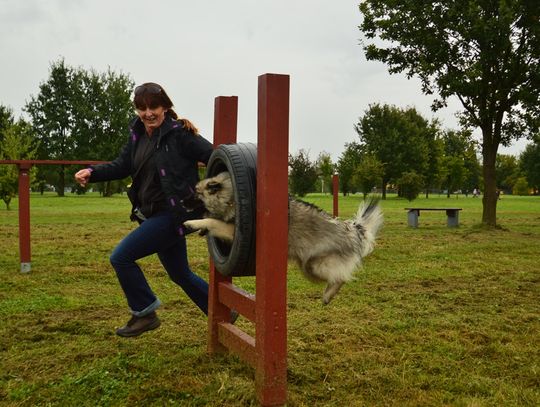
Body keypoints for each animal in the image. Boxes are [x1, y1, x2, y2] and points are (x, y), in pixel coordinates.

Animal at [186, 171, 384, 302]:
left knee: (342, 278)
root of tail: (353, 230)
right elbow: (212, 221)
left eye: (195, 193)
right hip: (308, 269)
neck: (231, 197)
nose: (181, 202)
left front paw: (193, 223)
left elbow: (213, 221)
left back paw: (328, 296)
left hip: (316, 266)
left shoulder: (233, 230)